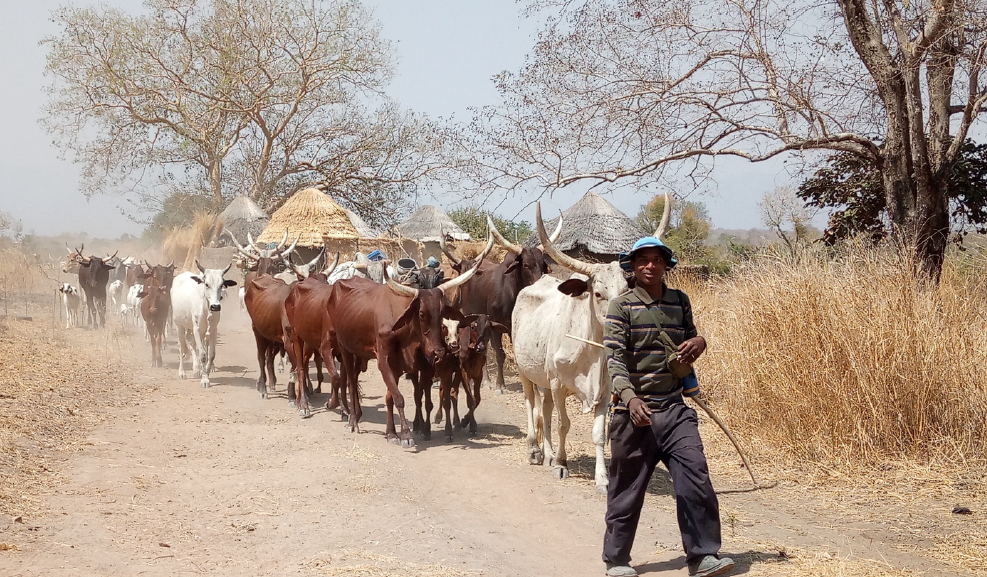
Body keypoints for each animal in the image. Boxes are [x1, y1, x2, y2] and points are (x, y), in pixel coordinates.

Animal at [171, 260, 238, 388]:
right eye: (206, 284)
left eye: (222, 285)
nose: (215, 306)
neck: (206, 307)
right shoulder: (197, 329)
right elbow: (202, 354)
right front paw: (205, 379)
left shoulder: (213, 330)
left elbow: (211, 354)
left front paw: (206, 371)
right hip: (178, 325)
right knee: (181, 347)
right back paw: (182, 372)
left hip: (191, 327)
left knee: (191, 343)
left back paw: (196, 369)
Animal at [324, 234, 494, 446]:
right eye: (421, 314)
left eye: (442, 312)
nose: (439, 351)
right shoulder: (384, 361)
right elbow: (398, 397)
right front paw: (405, 434)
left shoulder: (407, 364)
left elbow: (394, 396)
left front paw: (393, 432)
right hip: (345, 349)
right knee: (352, 383)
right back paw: (353, 420)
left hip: (359, 353)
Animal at [440, 216, 564, 392]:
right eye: (526, 265)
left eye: (542, 265)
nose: (541, 283)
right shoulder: (494, 326)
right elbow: (499, 354)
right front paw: (500, 384)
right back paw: (485, 380)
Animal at [510, 192, 672, 490]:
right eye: (598, 293)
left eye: (626, 290)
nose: (620, 322)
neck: (590, 354)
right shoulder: (559, 384)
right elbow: (563, 424)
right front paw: (561, 464)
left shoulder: (606, 391)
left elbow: (598, 433)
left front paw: (602, 478)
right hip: (526, 372)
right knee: (531, 404)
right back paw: (535, 450)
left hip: (544, 378)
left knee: (545, 410)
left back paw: (548, 453)